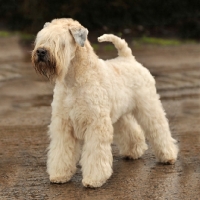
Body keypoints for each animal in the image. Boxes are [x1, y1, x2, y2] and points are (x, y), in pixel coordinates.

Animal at [32, 18, 179, 188]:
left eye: (60, 41)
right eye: (41, 38)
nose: (41, 52)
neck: (73, 79)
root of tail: (128, 58)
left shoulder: (96, 123)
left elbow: (95, 153)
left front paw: (94, 179)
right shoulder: (63, 124)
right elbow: (61, 151)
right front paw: (59, 174)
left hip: (148, 106)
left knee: (159, 129)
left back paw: (168, 155)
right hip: (119, 115)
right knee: (132, 130)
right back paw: (133, 151)